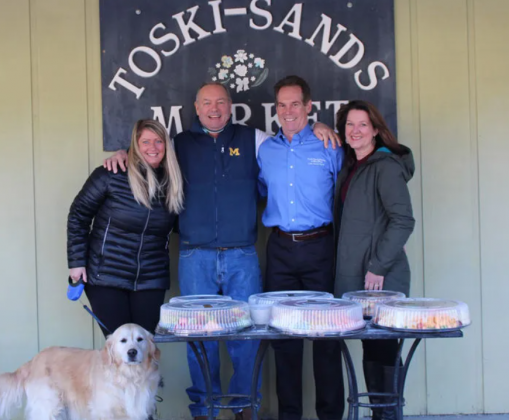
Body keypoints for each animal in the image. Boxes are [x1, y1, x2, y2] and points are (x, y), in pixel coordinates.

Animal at [0, 324, 161, 418]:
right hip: (49, 405)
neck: (129, 377)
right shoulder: (104, 411)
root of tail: (33, 360)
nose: (132, 352)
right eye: (123, 341)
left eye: (140, 339)